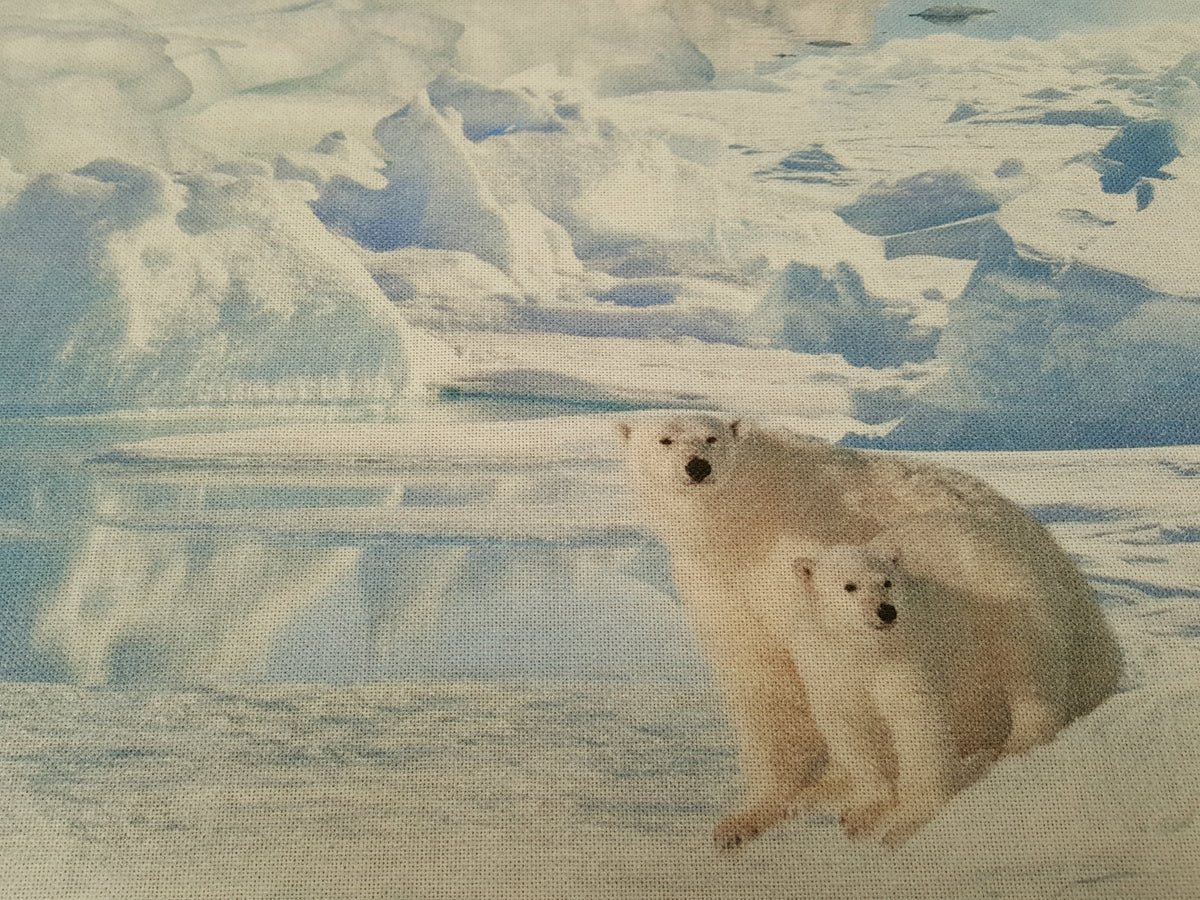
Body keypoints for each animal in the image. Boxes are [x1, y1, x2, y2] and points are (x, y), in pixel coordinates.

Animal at [619, 412, 1123, 849]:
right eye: (664, 439)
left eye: (711, 438)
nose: (697, 467)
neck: (744, 521)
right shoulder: (719, 587)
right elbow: (761, 677)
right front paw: (745, 818)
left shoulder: (801, 550)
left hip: (1009, 585)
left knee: (1024, 651)